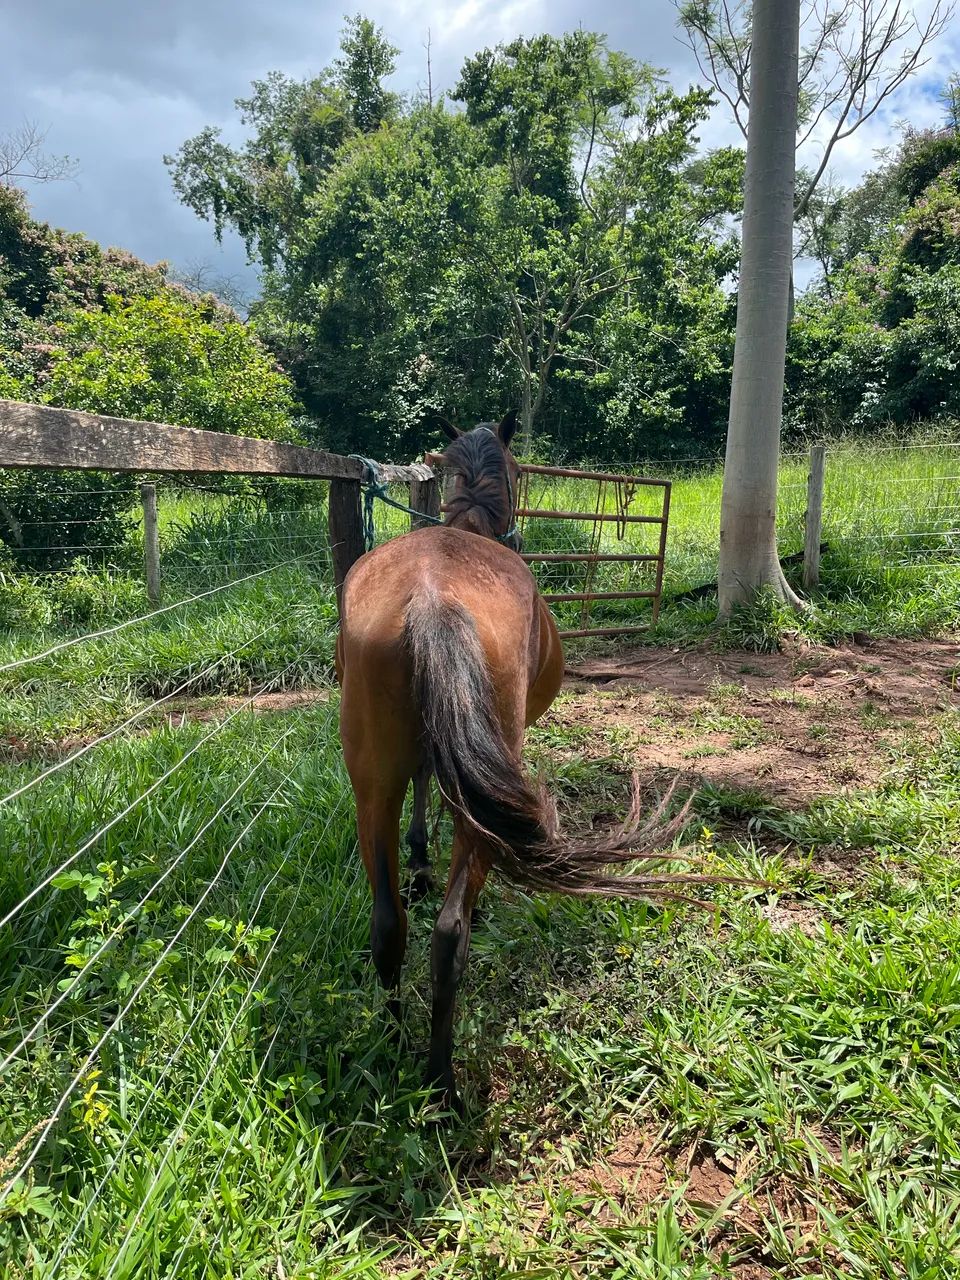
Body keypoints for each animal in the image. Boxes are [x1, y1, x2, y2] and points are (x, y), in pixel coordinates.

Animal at [335, 411, 702, 1109]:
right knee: (448, 934)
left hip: (370, 785)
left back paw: (394, 1047)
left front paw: (419, 863)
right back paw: (441, 1084)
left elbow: (423, 786)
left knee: (388, 927)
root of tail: (432, 600)